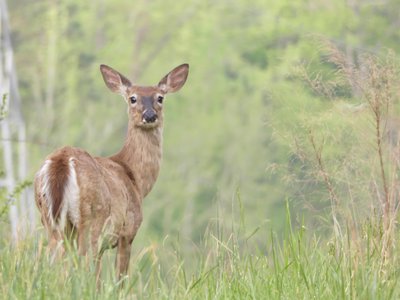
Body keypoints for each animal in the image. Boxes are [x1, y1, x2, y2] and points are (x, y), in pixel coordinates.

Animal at [33, 62, 189, 282]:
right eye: (133, 98)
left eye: (160, 97)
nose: (149, 116)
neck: (135, 177)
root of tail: (61, 161)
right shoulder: (127, 230)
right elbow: (119, 279)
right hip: (91, 219)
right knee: (83, 263)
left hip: (50, 220)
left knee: (53, 264)